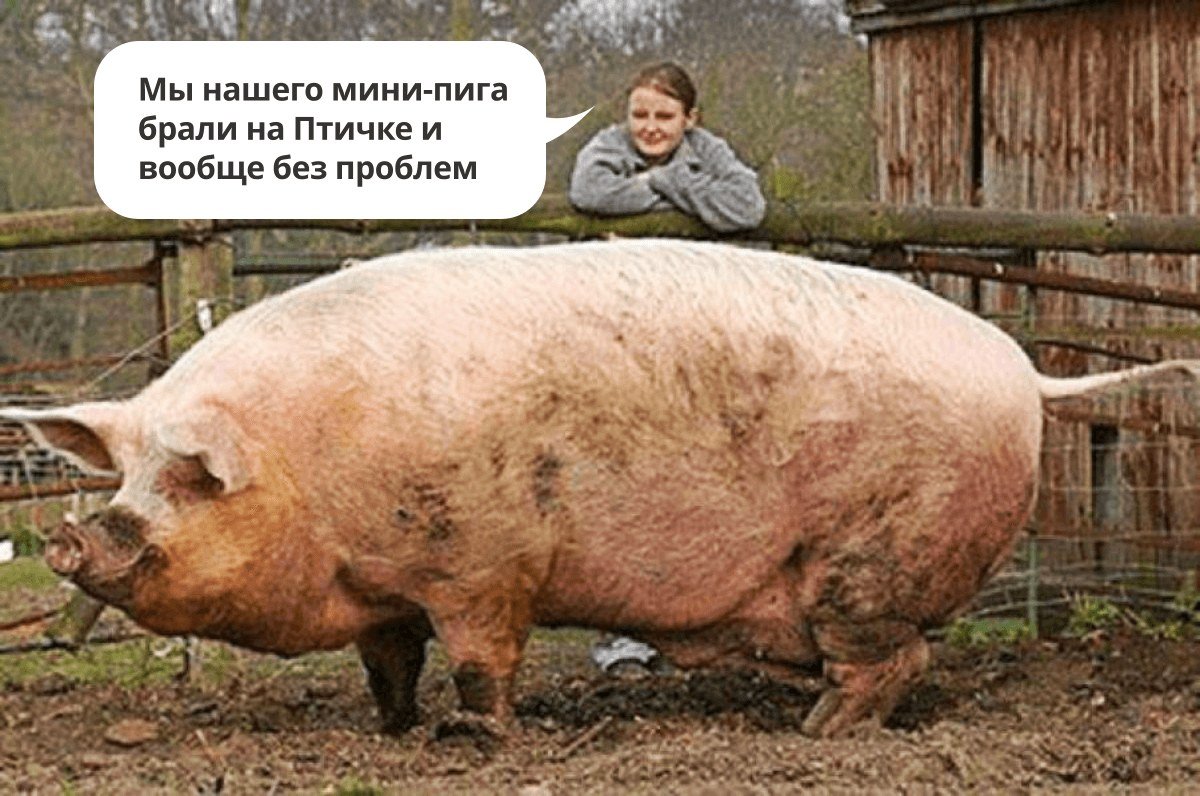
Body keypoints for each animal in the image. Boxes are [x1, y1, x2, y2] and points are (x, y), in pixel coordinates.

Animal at [2, 239, 1195, 738]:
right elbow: (390, 660)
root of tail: (1028, 372)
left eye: (187, 478)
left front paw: (474, 742)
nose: (73, 537)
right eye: (127, 472)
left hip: (868, 559)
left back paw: (815, 737)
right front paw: (390, 731)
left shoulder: (485, 561)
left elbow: (483, 661)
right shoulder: (388, 585)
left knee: (894, 657)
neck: (315, 459)